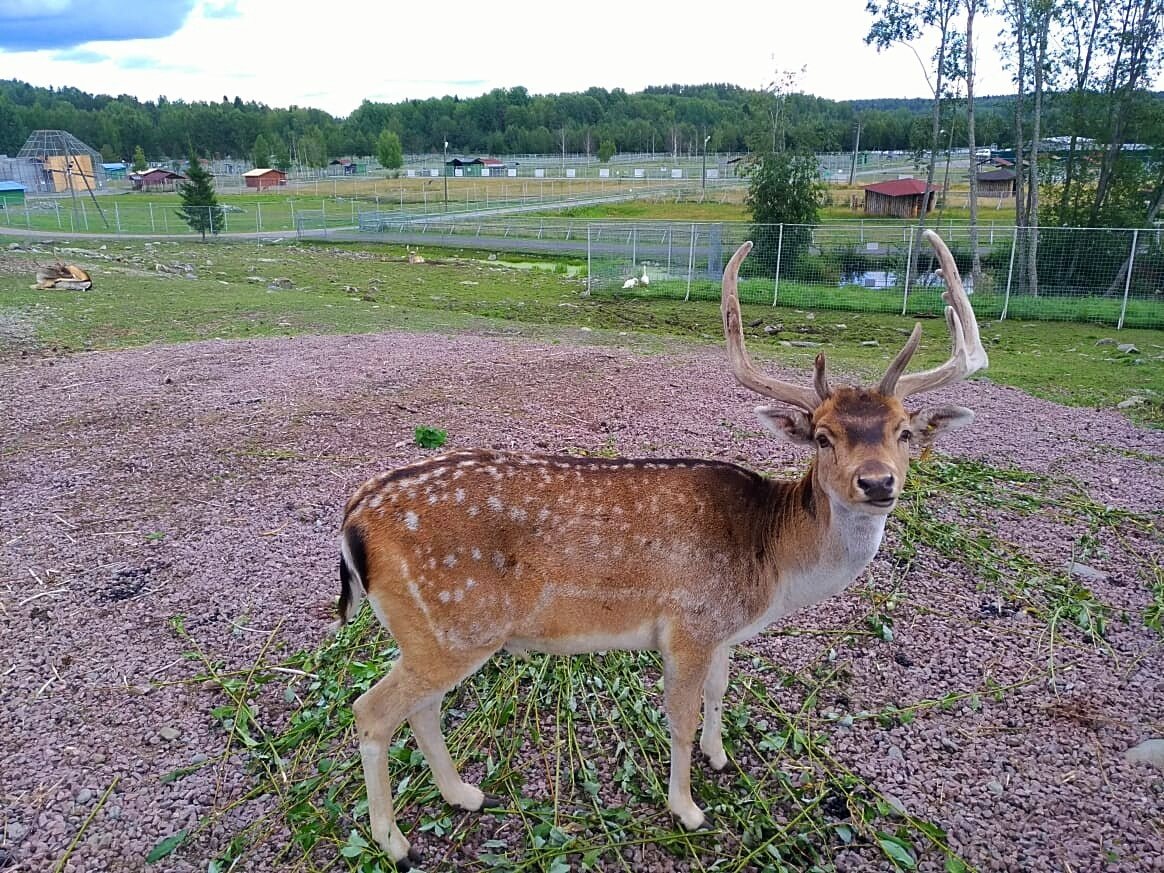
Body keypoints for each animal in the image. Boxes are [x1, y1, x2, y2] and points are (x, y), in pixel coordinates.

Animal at [335, 229, 982, 870]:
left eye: (904, 432)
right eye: (823, 436)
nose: (877, 482)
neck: (770, 566)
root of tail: (354, 518)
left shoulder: (719, 629)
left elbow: (721, 689)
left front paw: (720, 756)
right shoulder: (688, 625)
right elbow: (680, 719)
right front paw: (688, 809)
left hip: (436, 635)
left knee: (420, 707)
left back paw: (464, 794)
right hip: (453, 626)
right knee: (372, 711)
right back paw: (394, 841)